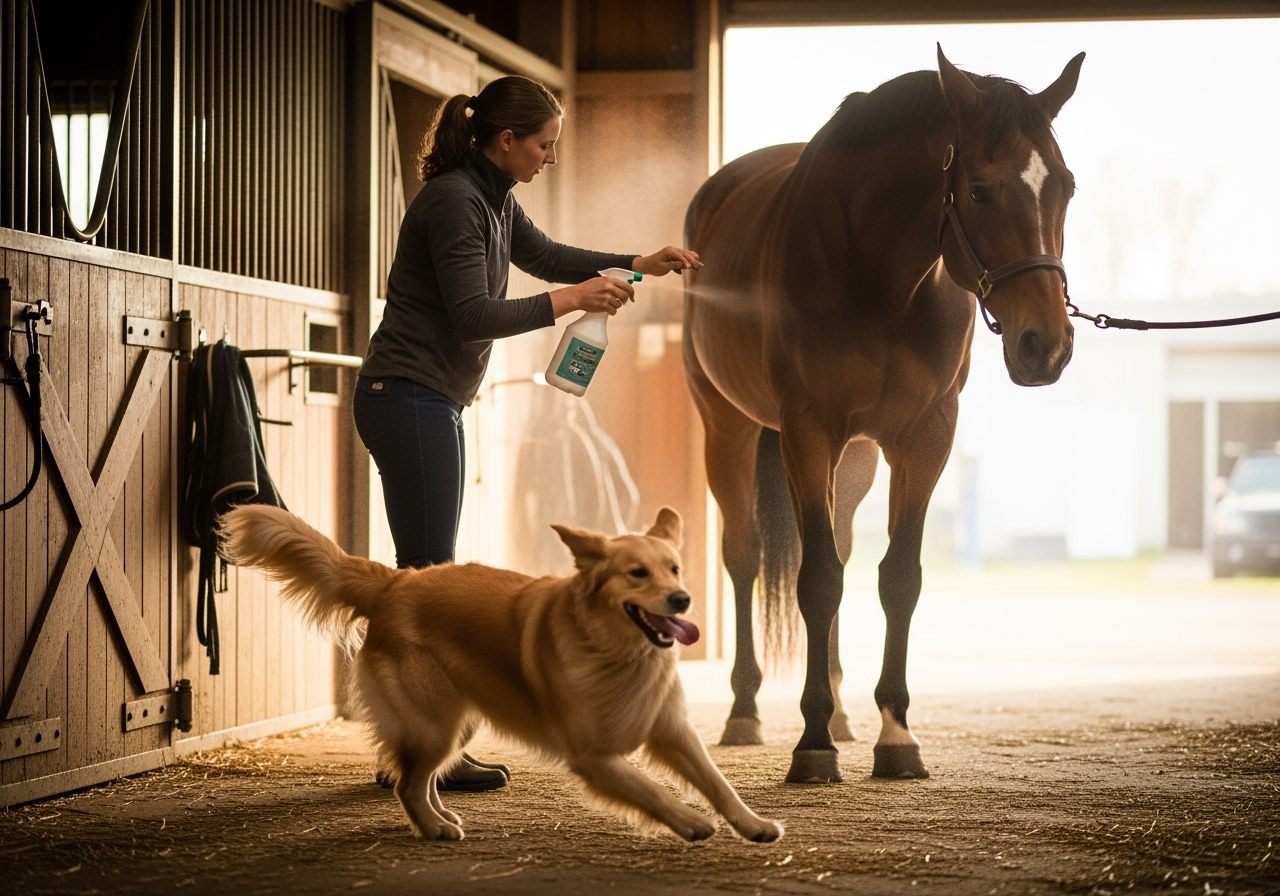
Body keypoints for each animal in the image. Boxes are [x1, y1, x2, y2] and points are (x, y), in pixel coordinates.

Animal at [682, 46, 1084, 783]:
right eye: (978, 190)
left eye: (1065, 187)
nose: (1046, 345)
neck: (882, 276)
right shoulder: (808, 431)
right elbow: (816, 580)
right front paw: (812, 743)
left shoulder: (924, 439)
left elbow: (897, 578)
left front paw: (895, 735)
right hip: (729, 427)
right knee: (745, 556)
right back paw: (747, 711)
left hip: (858, 459)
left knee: (837, 546)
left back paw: (841, 711)